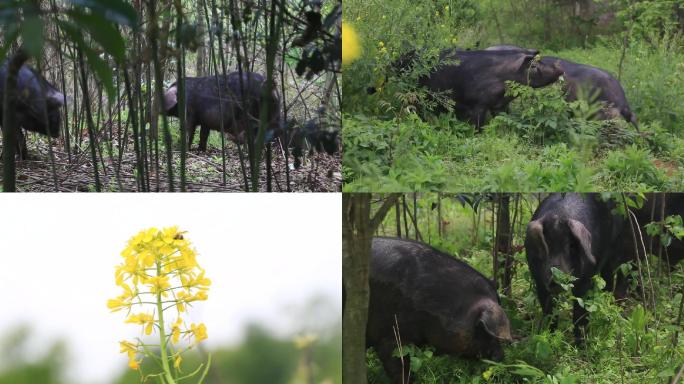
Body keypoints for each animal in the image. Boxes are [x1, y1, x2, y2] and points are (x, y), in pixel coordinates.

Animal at [528, 194, 628, 344]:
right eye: (545, 244)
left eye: (570, 246)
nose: (557, 279)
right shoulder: (539, 282)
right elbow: (549, 313)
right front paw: (549, 338)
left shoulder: (585, 280)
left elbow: (580, 315)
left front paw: (581, 345)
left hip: (613, 249)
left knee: (609, 279)